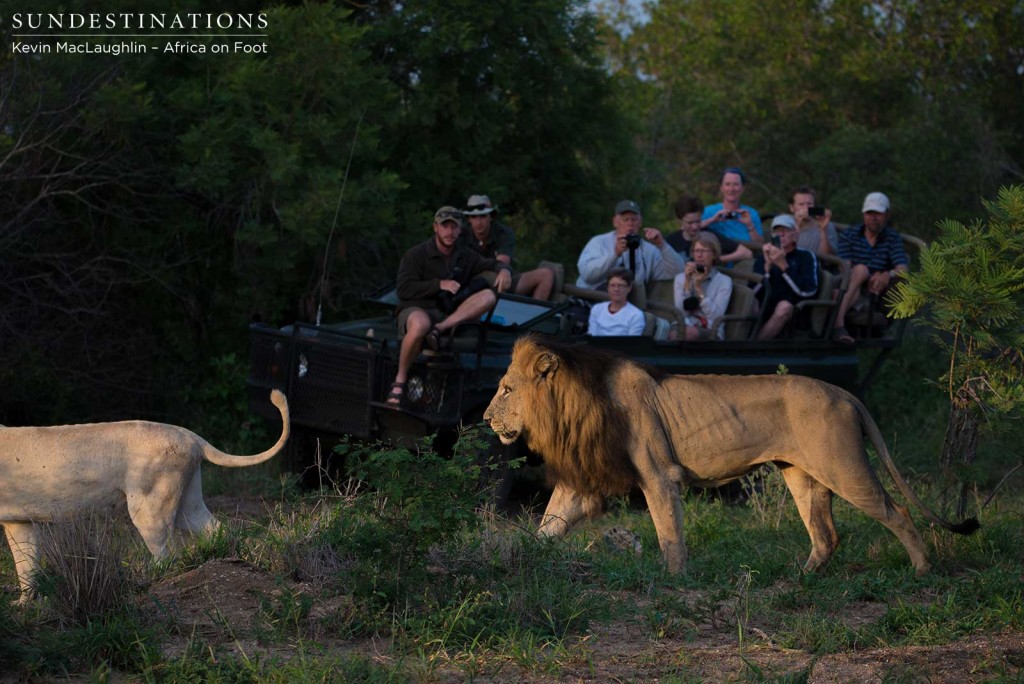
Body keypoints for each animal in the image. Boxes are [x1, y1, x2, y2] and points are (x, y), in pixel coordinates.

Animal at [1, 393, 288, 602]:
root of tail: (193, 437)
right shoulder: (19, 522)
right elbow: (26, 564)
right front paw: (25, 604)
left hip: (150, 507)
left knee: (168, 554)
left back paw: (149, 585)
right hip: (189, 505)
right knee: (217, 529)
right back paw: (228, 561)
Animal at [483, 335, 978, 577]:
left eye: (506, 389)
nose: (486, 418)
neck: (571, 406)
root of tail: (845, 393)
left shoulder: (658, 474)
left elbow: (669, 534)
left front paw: (674, 580)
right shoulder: (583, 480)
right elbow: (548, 524)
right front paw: (514, 558)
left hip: (844, 466)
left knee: (897, 513)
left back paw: (922, 571)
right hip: (802, 474)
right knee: (826, 534)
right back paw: (801, 578)